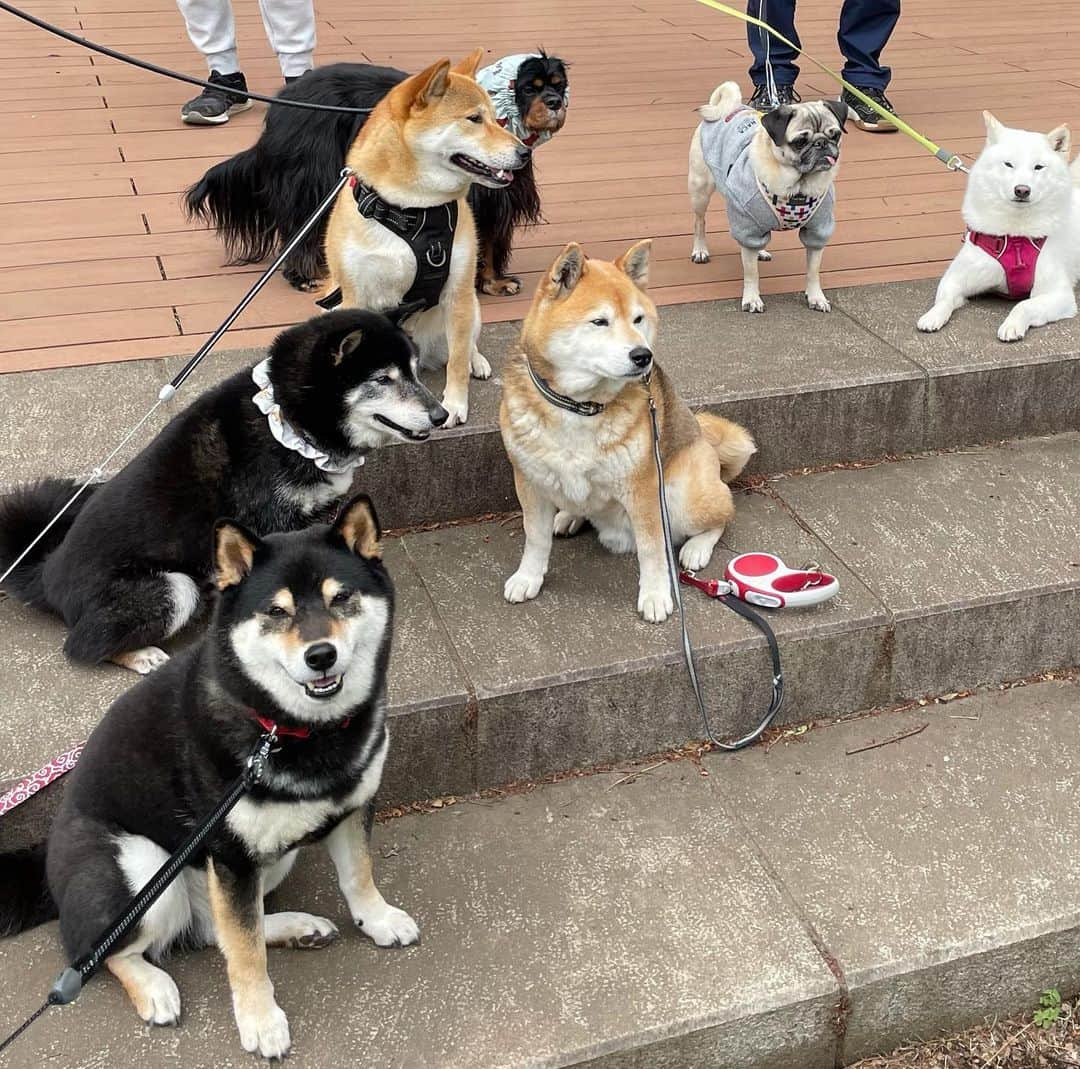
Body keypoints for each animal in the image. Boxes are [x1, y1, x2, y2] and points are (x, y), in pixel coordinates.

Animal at [920, 113, 1080, 341]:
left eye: (1038, 167)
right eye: (1008, 164)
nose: (1022, 190)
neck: (1015, 238)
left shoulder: (1059, 294)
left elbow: (1024, 305)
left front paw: (1012, 325)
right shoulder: (955, 277)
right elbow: (944, 299)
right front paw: (932, 316)